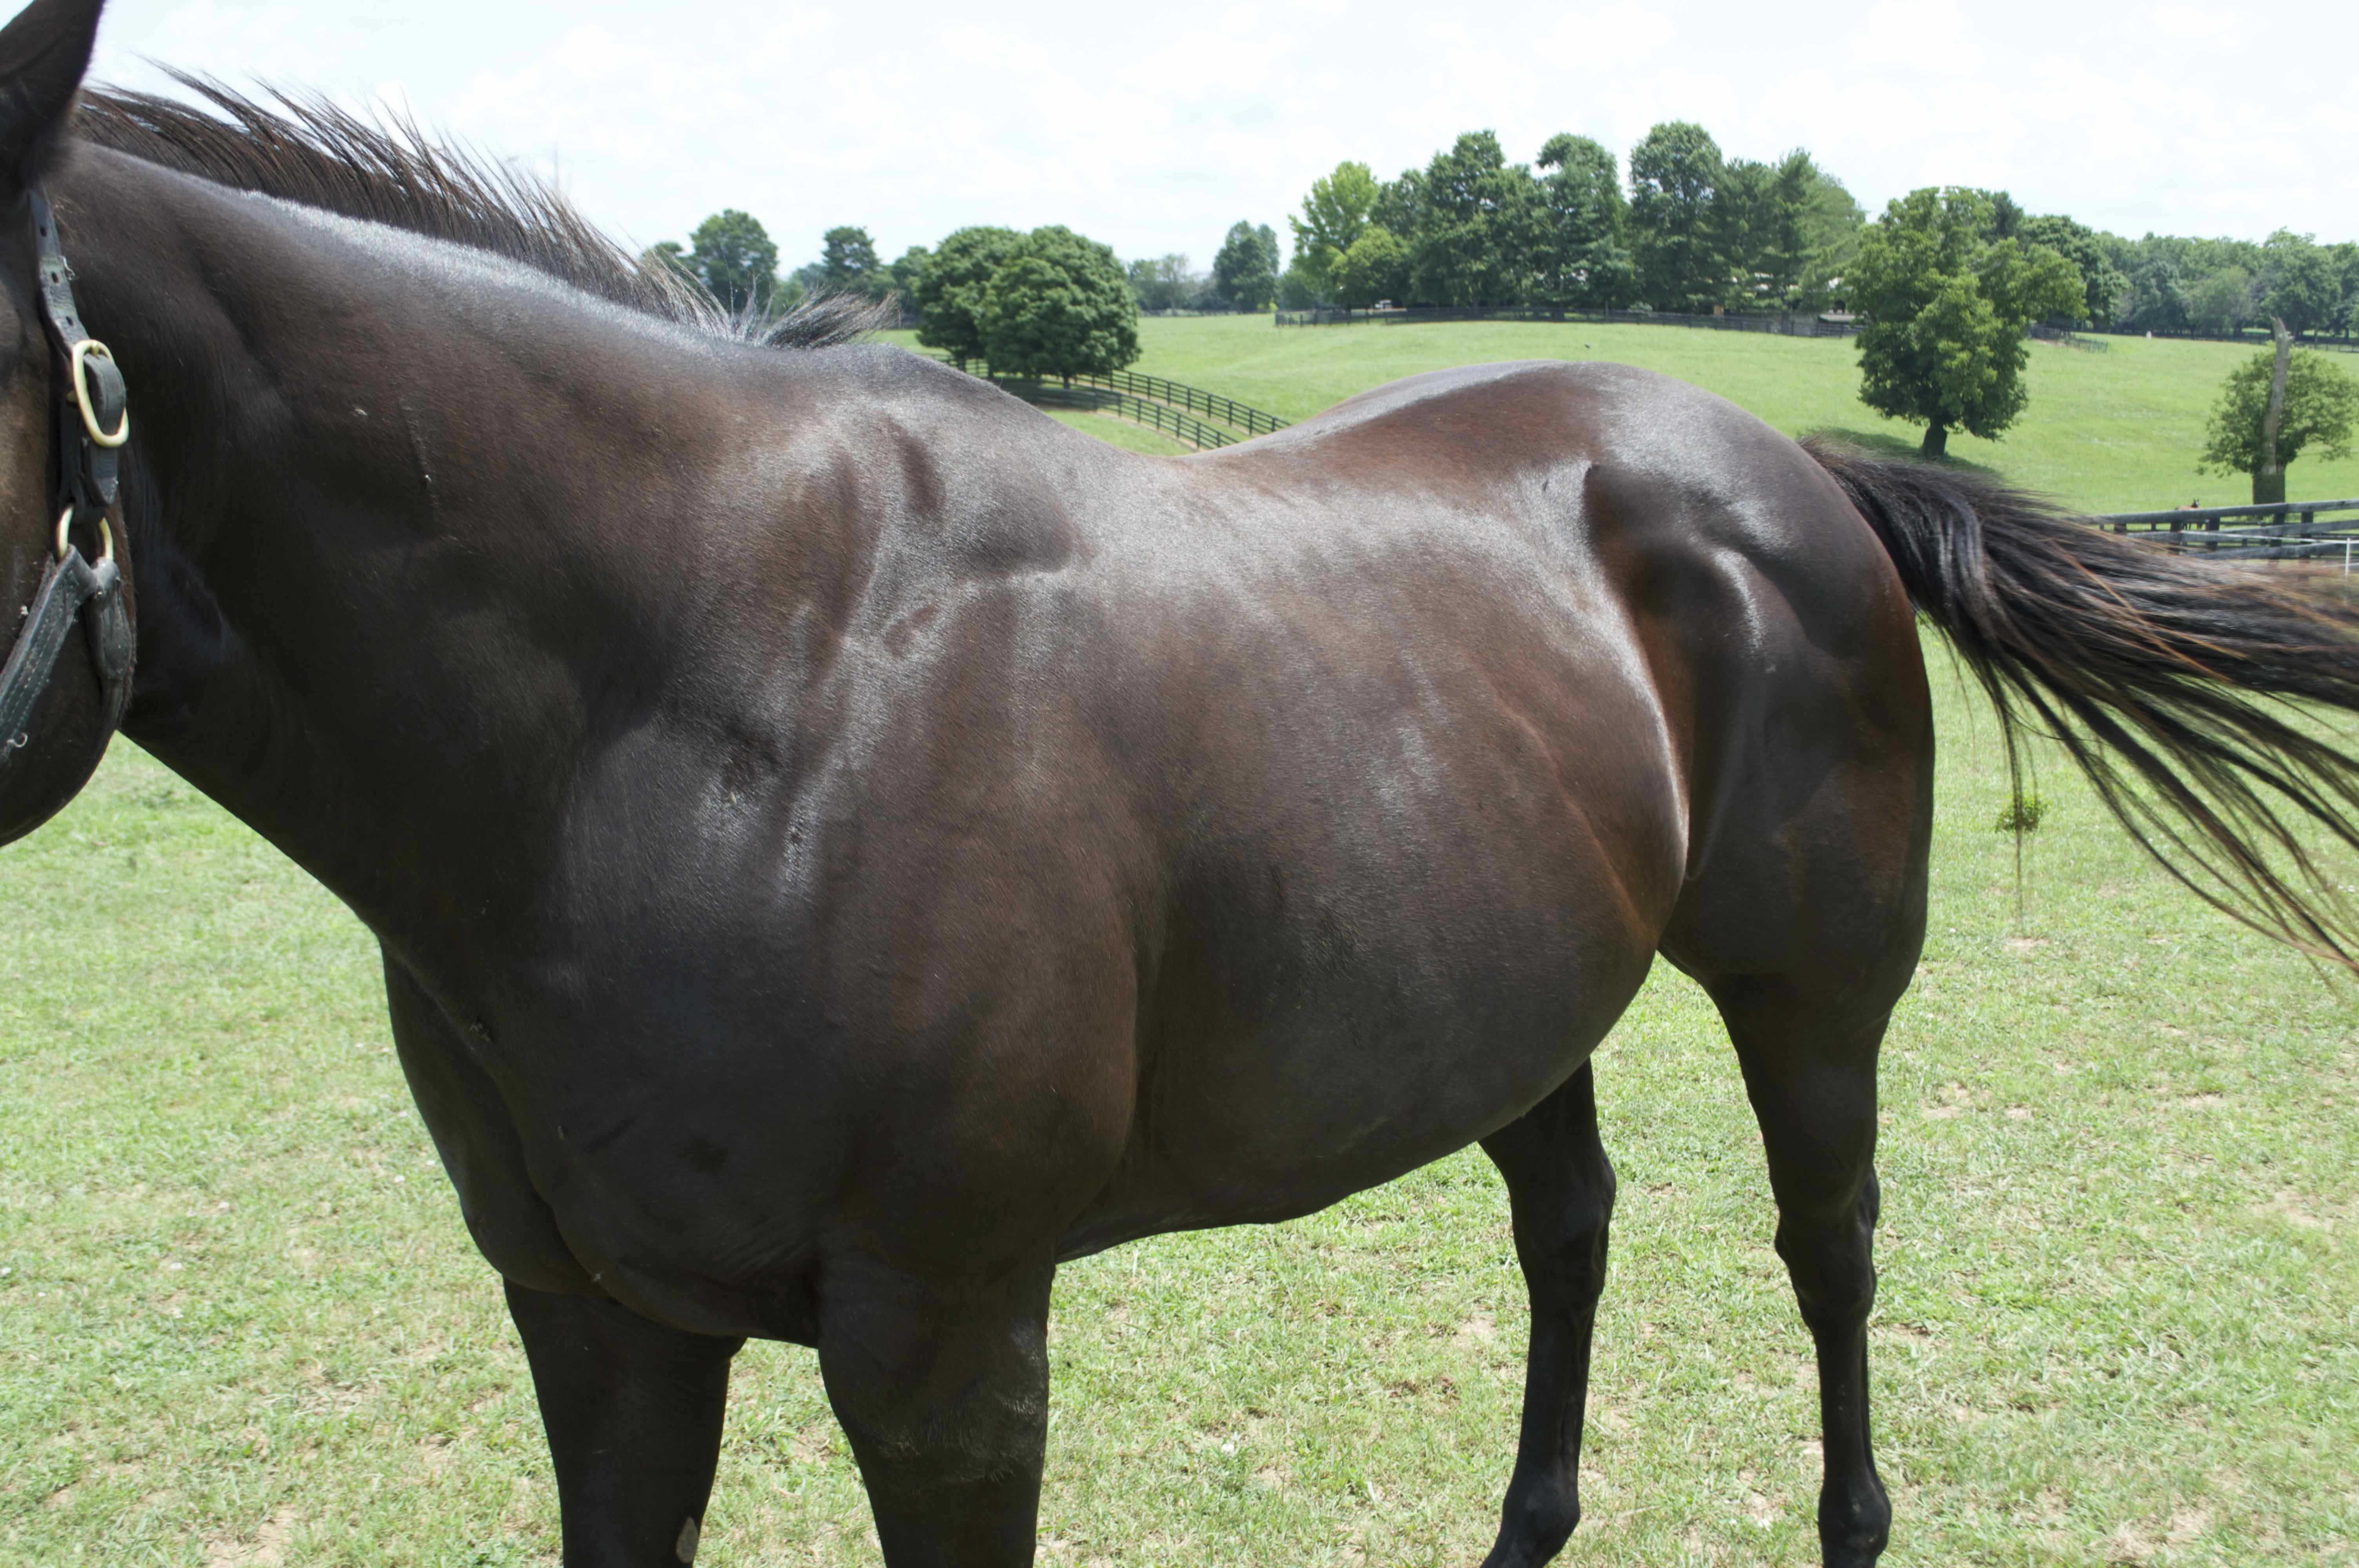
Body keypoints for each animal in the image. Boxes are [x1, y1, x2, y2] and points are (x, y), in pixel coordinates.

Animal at [5, 2, 2358, 1563]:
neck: (719, 687)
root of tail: (1796, 466)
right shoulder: (598, 1327)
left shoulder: (945, 1342)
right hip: (1508, 993)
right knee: (1573, 1229)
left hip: (1814, 994)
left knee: (1829, 1243)